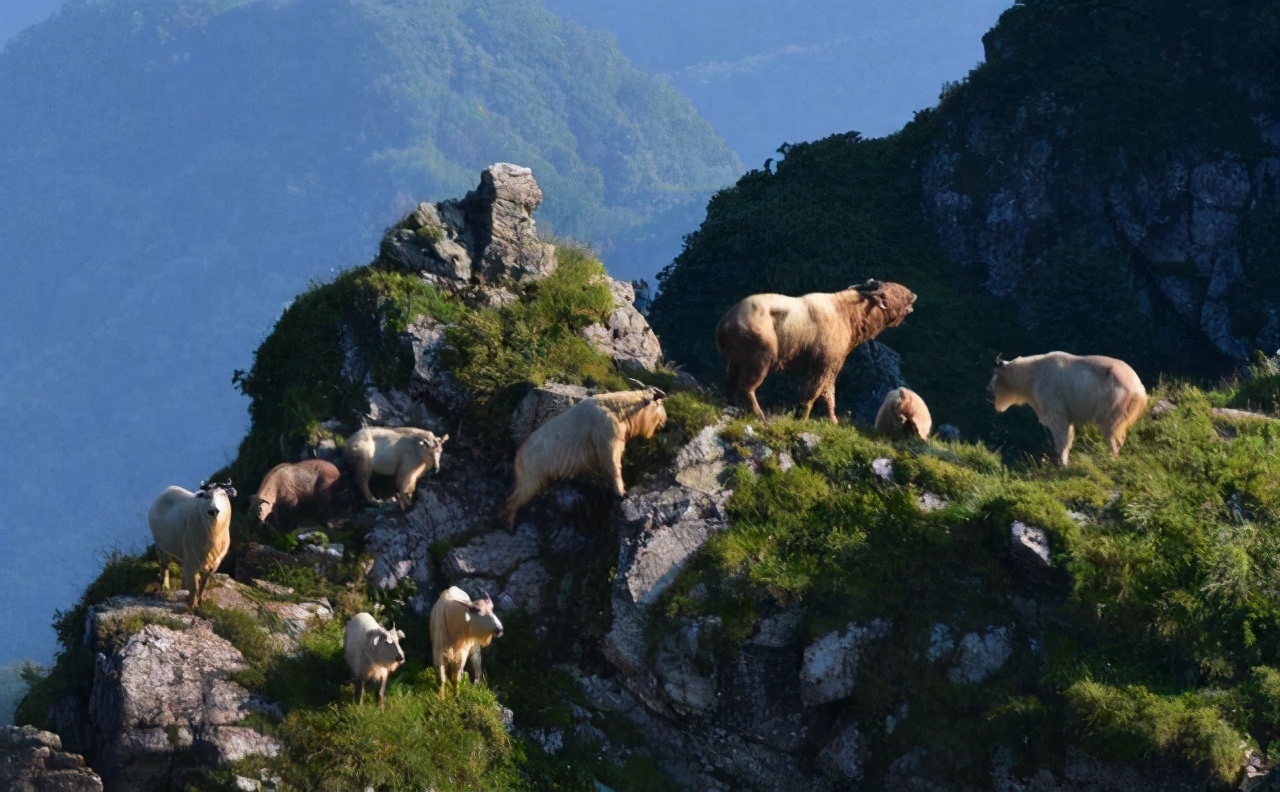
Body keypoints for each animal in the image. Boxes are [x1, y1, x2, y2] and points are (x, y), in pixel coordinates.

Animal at [148, 481, 236, 611]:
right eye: (206, 496)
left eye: (223, 494)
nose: (213, 511)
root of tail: (167, 490)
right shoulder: (192, 558)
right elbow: (194, 584)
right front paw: (192, 604)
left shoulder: (214, 563)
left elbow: (203, 582)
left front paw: (199, 601)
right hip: (162, 545)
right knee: (165, 564)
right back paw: (165, 586)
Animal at [496, 388, 670, 529]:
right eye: (660, 403)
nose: (664, 422)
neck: (617, 409)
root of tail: (518, 457)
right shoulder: (607, 438)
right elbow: (613, 465)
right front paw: (621, 493)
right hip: (532, 476)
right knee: (515, 498)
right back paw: (508, 525)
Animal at [716, 281, 916, 424]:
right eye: (893, 290)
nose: (913, 295)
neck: (847, 317)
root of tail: (725, 323)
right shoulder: (823, 363)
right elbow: (812, 393)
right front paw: (802, 417)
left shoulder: (833, 366)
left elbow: (829, 396)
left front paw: (833, 421)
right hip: (762, 352)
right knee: (747, 387)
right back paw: (760, 415)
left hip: (736, 359)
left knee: (731, 383)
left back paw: (732, 404)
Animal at [988, 350, 1152, 468]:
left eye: (994, 375)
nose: (987, 392)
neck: (1032, 375)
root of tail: (1140, 390)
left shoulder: (1052, 401)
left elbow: (1061, 432)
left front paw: (1061, 463)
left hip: (1113, 402)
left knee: (1111, 430)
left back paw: (1110, 457)